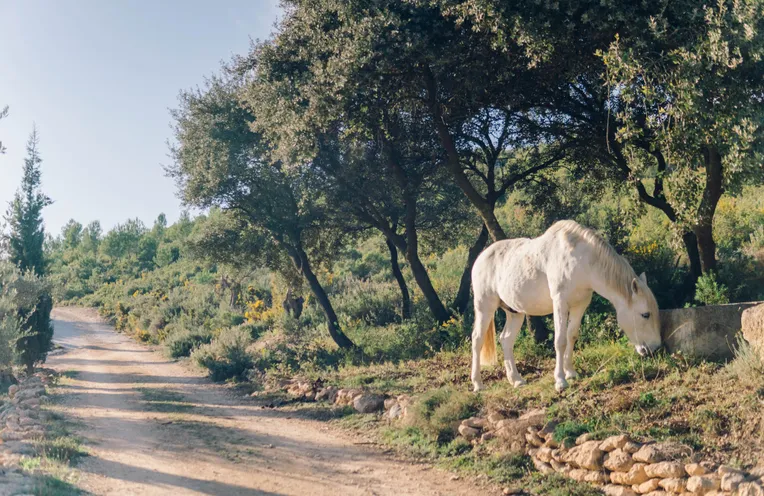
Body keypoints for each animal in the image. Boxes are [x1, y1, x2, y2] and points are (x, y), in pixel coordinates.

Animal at [468, 220, 660, 392]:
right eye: (645, 314)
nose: (655, 349)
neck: (581, 261)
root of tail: (481, 258)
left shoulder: (580, 305)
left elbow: (571, 336)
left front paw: (570, 372)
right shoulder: (560, 302)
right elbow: (560, 341)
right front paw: (560, 381)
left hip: (515, 312)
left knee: (506, 340)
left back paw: (516, 380)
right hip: (485, 307)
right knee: (477, 340)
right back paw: (478, 384)